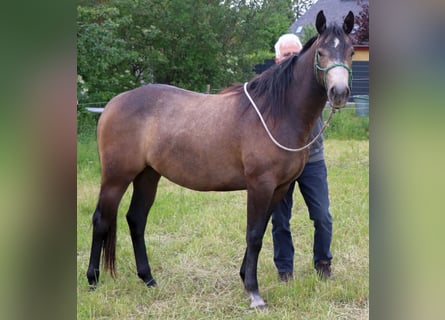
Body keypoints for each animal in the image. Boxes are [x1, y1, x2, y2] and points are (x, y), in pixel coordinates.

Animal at [85, 10, 352, 310]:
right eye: (321, 52)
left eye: (351, 51)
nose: (339, 93)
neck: (276, 111)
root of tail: (112, 104)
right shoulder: (260, 185)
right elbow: (254, 235)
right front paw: (254, 292)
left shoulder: (280, 187)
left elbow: (259, 232)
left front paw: (245, 277)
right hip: (116, 178)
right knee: (101, 220)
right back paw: (93, 280)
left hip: (147, 175)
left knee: (136, 219)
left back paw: (149, 279)